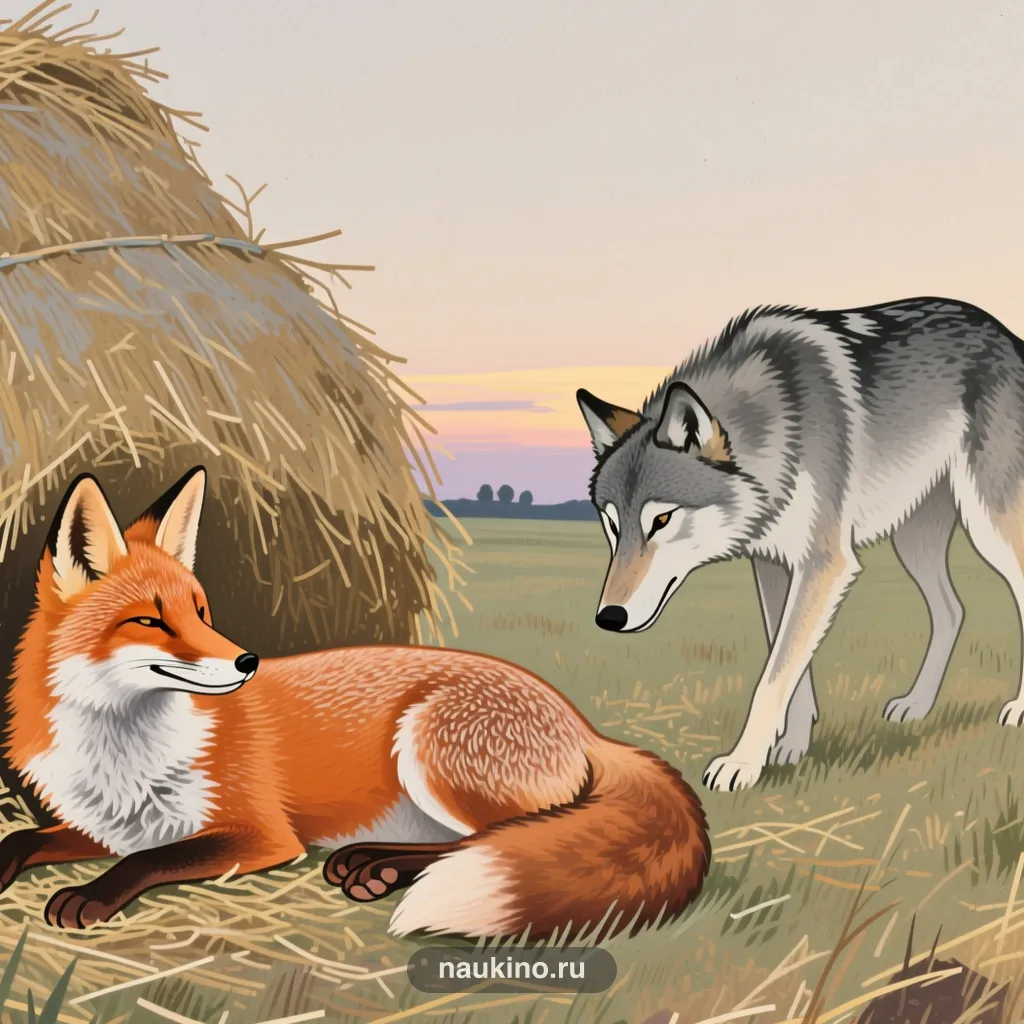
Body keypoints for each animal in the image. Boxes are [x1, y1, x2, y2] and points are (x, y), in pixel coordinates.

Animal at [577, 297, 1024, 792]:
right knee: (951, 611)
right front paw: (792, 745)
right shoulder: (773, 564)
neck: (773, 429)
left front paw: (742, 763)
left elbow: (773, 677)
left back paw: (1017, 708)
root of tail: (1006, 334)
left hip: (990, 526)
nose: (609, 618)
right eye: (612, 525)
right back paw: (917, 705)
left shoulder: (826, 563)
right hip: (914, 542)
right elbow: (790, 663)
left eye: (661, 520)